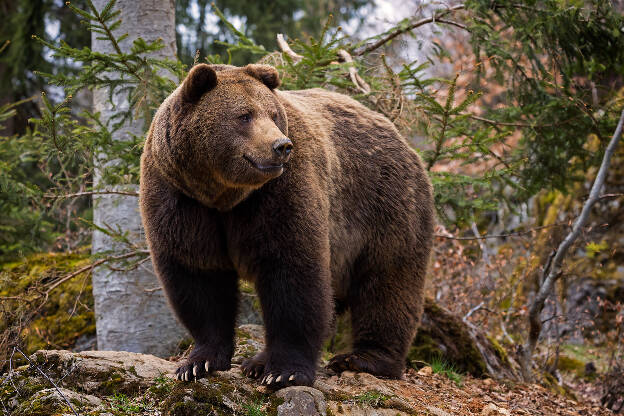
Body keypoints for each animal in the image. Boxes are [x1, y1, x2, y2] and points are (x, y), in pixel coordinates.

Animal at [141, 63, 434, 388]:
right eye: (244, 115)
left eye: (272, 114)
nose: (281, 145)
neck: (224, 194)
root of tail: (400, 136)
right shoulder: (179, 197)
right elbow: (198, 274)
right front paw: (198, 362)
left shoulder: (281, 192)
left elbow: (292, 271)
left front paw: (285, 371)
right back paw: (257, 362)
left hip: (384, 205)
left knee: (387, 281)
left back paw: (363, 358)